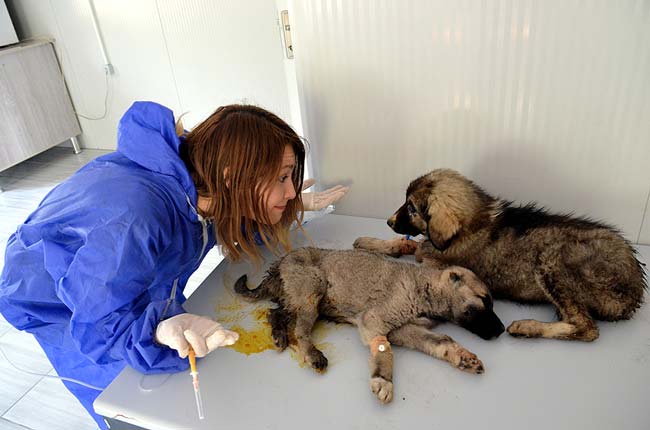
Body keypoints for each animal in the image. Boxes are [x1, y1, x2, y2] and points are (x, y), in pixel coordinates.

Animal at [235, 247, 504, 404]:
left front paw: (463, 357)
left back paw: (279, 335)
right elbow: (385, 351)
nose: (502, 331)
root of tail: (280, 263)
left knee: (275, 313)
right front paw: (382, 380)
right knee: (300, 330)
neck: (425, 290)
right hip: (314, 287)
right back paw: (312, 354)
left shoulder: (404, 329)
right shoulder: (375, 322)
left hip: (298, 299)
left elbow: (442, 340)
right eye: (484, 300)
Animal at [352, 170, 644, 340]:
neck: (470, 223)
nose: (389, 221)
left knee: (586, 327)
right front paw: (372, 242)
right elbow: (408, 245)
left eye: (412, 208)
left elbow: (417, 254)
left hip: (553, 260)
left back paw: (528, 327)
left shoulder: (439, 263)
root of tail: (635, 291)